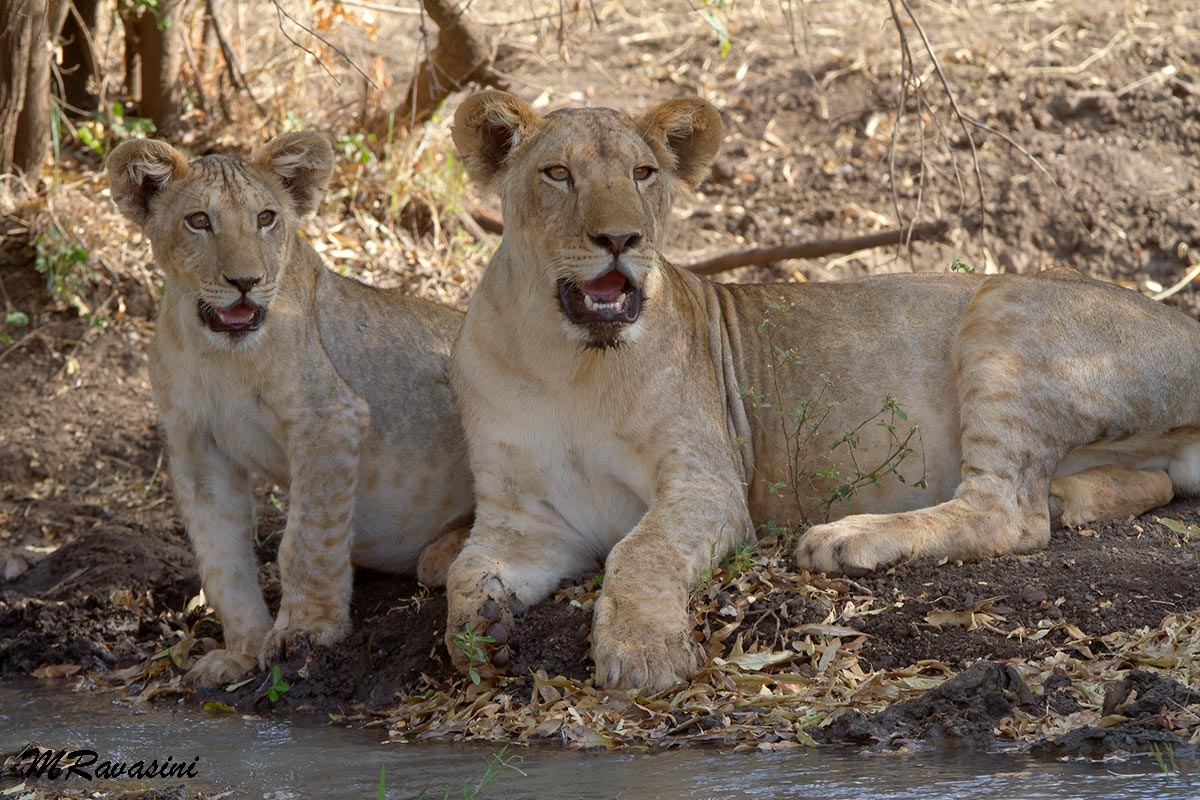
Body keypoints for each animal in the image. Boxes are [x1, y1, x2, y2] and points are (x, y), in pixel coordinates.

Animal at [107, 132, 473, 687]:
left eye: (265, 218)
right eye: (199, 221)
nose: (245, 281)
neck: (220, 354)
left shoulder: (330, 417)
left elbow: (304, 540)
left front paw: (305, 633)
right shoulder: (198, 450)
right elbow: (221, 560)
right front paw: (241, 651)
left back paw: (445, 552)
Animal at [442, 90, 1200, 692]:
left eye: (642, 174)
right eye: (558, 174)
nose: (620, 237)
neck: (565, 361)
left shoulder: (708, 484)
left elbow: (639, 551)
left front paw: (642, 654)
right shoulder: (523, 519)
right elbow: (461, 574)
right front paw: (483, 630)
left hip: (1005, 304)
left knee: (1007, 512)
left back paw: (846, 539)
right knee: (1136, 485)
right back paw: (1070, 497)